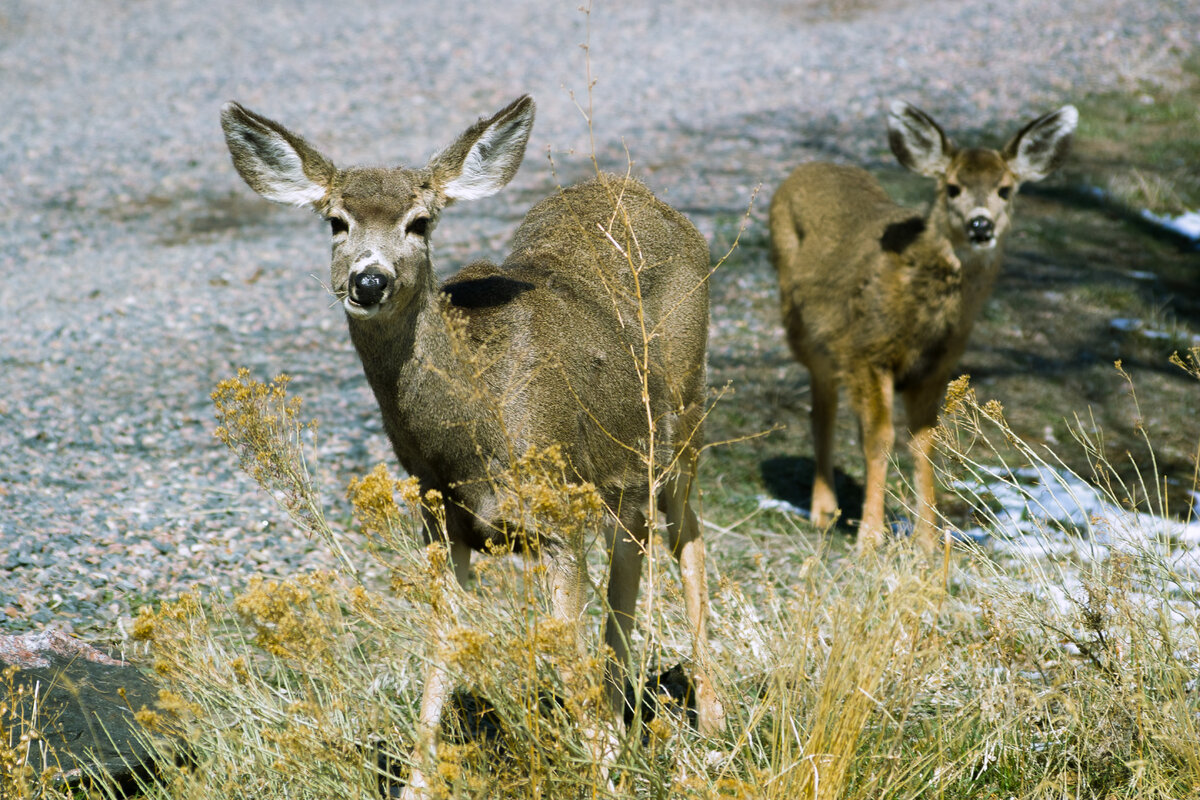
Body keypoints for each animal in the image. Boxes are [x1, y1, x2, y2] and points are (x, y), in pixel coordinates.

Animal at [220, 95, 723, 794]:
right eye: (336, 222)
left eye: (420, 222)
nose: (369, 281)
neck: (469, 434)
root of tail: (639, 192)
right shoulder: (443, 523)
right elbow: (443, 643)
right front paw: (417, 782)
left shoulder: (554, 514)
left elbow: (562, 645)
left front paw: (604, 772)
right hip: (622, 466)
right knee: (635, 542)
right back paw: (624, 717)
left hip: (684, 414)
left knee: (686, 534)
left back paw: (711, 728)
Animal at [769, 100, 1077, 554]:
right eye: (952, 188)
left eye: (1005, 189)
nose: (981, 225)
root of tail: (807, 167)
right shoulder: (866, 350)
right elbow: (879, 438)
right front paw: (869, 538)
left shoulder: (936, 368)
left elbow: (925, 443)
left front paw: (928, 541)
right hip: (807, 333)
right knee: (823, 408)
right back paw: (824, 511)